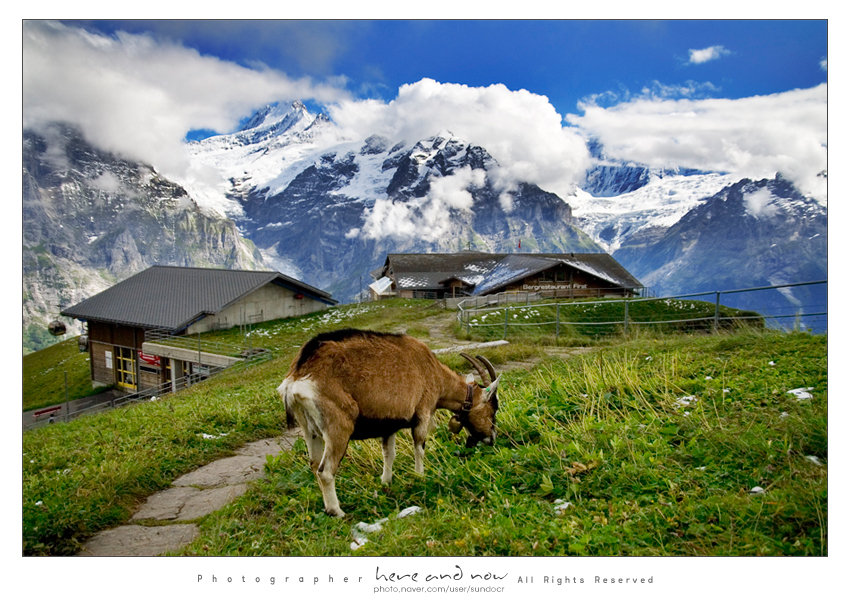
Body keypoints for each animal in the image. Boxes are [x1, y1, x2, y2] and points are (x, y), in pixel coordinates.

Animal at [282, 328, 500, 516]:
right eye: (493, 409)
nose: (491, 439)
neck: (433, 371)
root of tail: (297, 377)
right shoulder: (423, 412)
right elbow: (419, 447)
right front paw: (420, 476)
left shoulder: (389, 424)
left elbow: (389, 454)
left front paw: (386, 482)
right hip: (338, 425)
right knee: (326, 471)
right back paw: (337, 511)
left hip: (309, 429)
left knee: (314, 464)